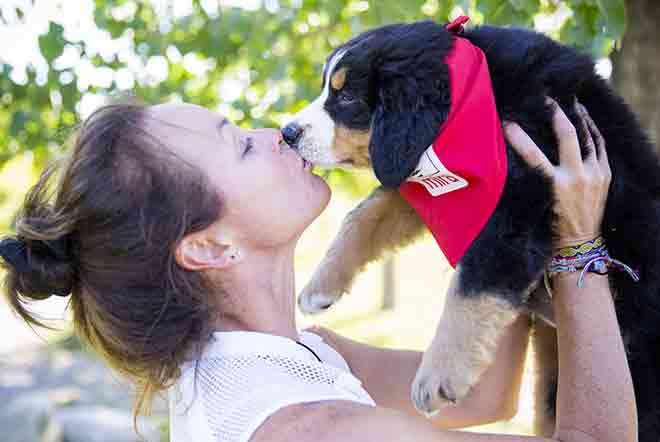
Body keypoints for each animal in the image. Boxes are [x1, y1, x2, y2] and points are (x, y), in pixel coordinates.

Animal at [282, 18, 660, 438]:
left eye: (346, 97)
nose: (287, 133)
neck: (477, 101)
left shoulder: (521, 202)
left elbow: (470, 285)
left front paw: (437, 376)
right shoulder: (419, 174)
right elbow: (366, 214)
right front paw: (320, 286)